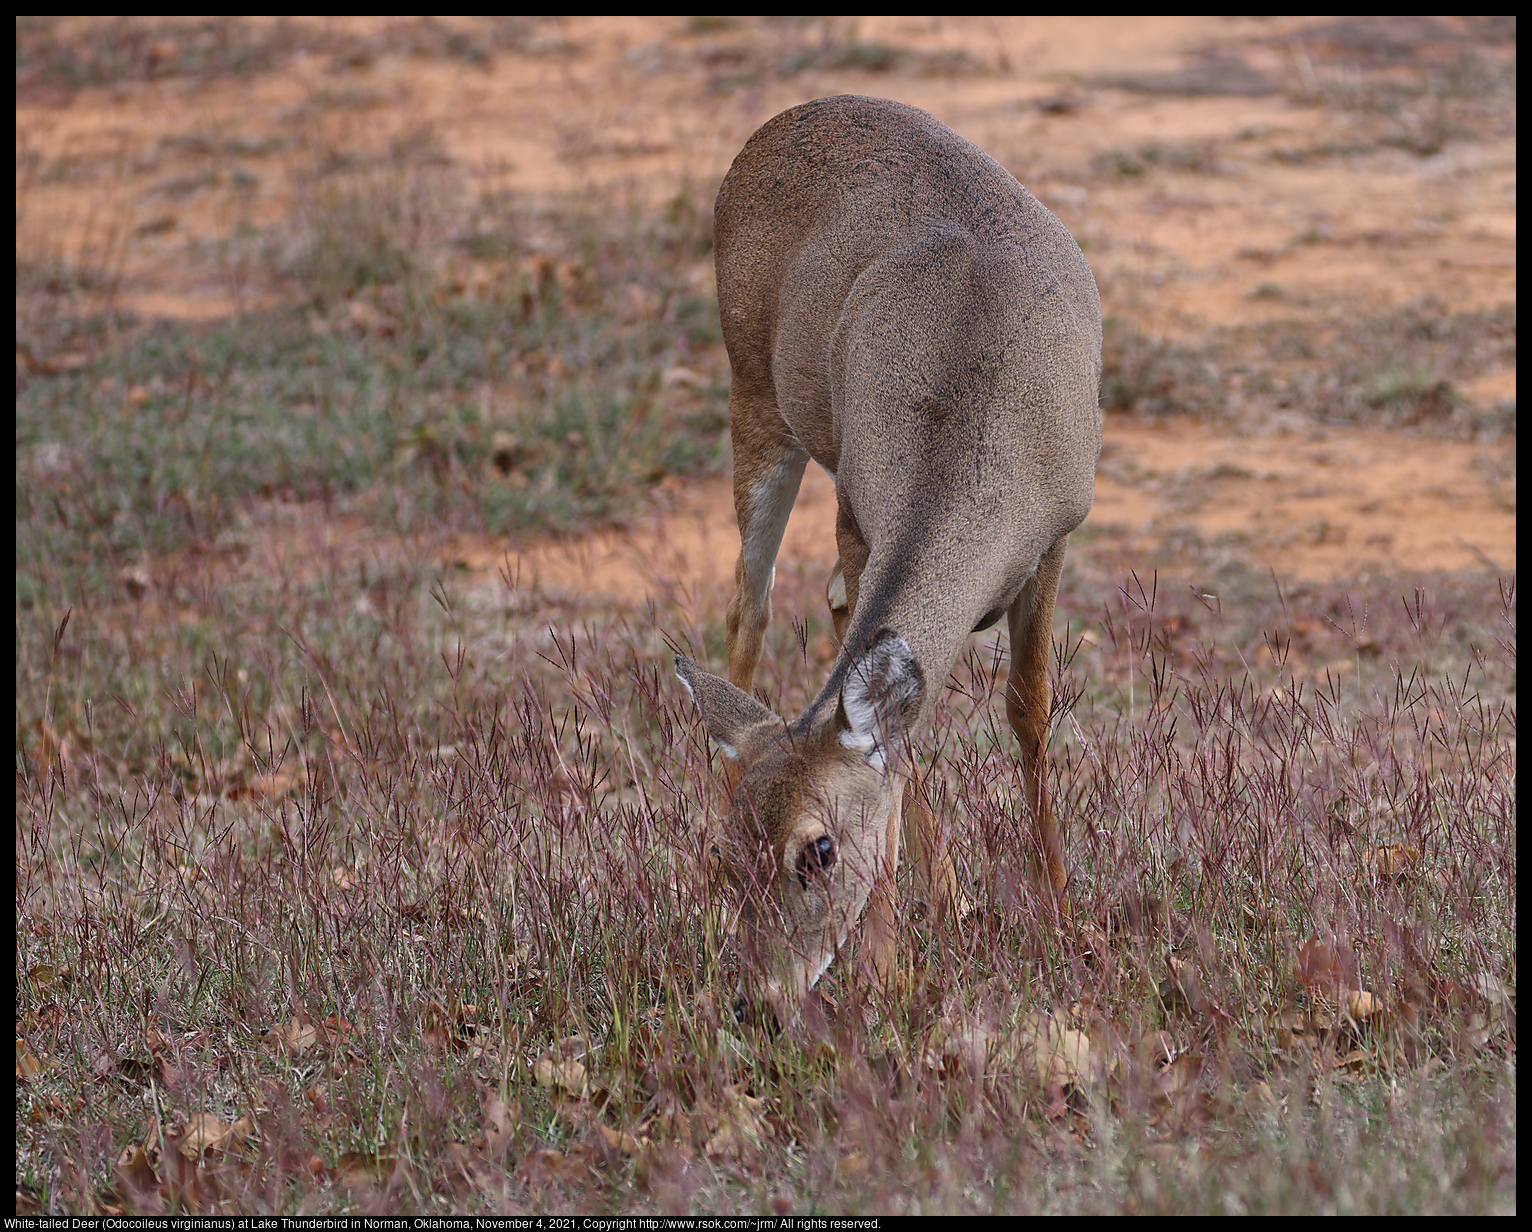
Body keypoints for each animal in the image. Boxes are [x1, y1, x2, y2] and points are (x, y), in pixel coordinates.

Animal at [674, 93, 1103, 1029]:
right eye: (726, 856)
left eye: (819, 851)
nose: (757, 1001)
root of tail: (788, 117)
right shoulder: (859, 507)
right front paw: (889, 966)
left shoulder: (1058, 531)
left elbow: (1027, 710)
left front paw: (1062, 914)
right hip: (754, 388)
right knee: (750, 607)